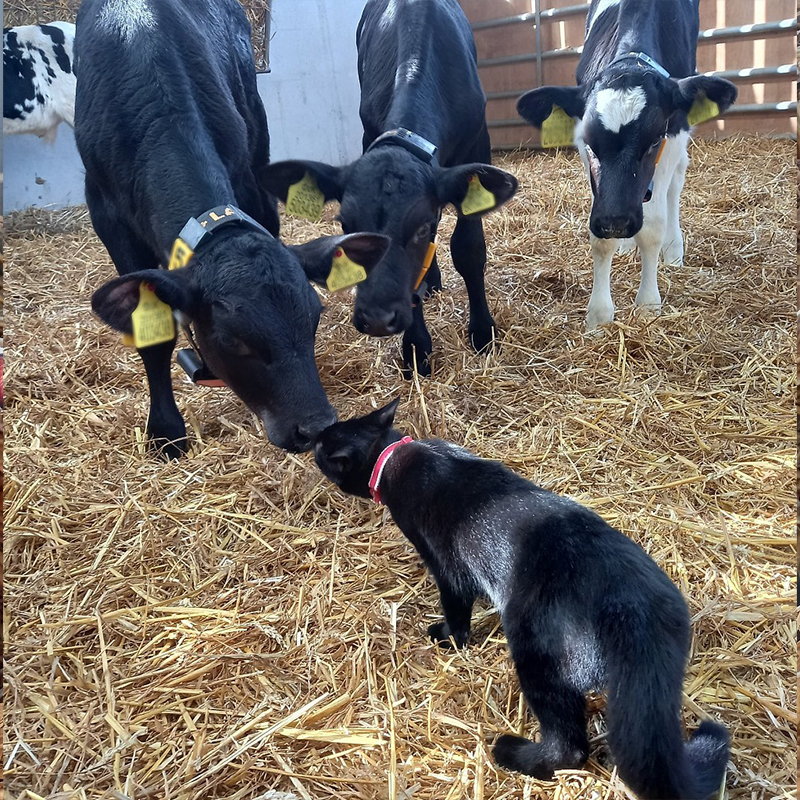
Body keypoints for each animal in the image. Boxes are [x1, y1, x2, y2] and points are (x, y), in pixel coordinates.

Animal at [76, 0, 390, 456]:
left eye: (313, 318)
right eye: (232, 341)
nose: (314, 427)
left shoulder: (246, 177)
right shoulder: (109, 219)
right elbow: (152, 334)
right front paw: (166, 430)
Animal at [260, 0, 516, 378]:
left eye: (422, 226)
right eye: (347, 225)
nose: (379, 319)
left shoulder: (476, 147)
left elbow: (468, 249)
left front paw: (483, 332)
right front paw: (416, 347)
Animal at [312, 400, 732, 800]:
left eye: (322, 447)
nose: (311, 436)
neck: (394, 454)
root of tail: (632, 610)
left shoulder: (448, 570)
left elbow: (457, 613)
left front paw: (447, 637)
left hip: (538, 657)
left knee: (568, 748)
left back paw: (512, 752)